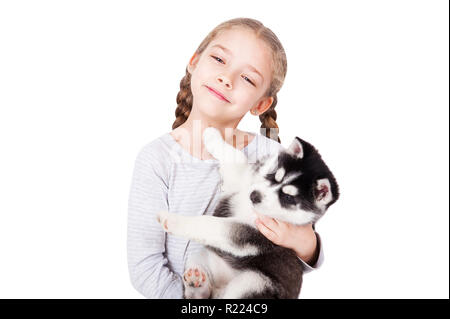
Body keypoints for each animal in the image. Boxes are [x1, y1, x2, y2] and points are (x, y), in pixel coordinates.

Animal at [156, 128, 340, 300]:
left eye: (288, 197)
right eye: (274, 176)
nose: (254, 196)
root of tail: (220, 289)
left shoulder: (252, 234)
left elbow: (210, 224)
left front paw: (173, 221)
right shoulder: (242, 182)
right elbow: (236, 156)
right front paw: (212, 134)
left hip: (253, 282)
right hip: (200, 257)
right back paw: (197, 284)